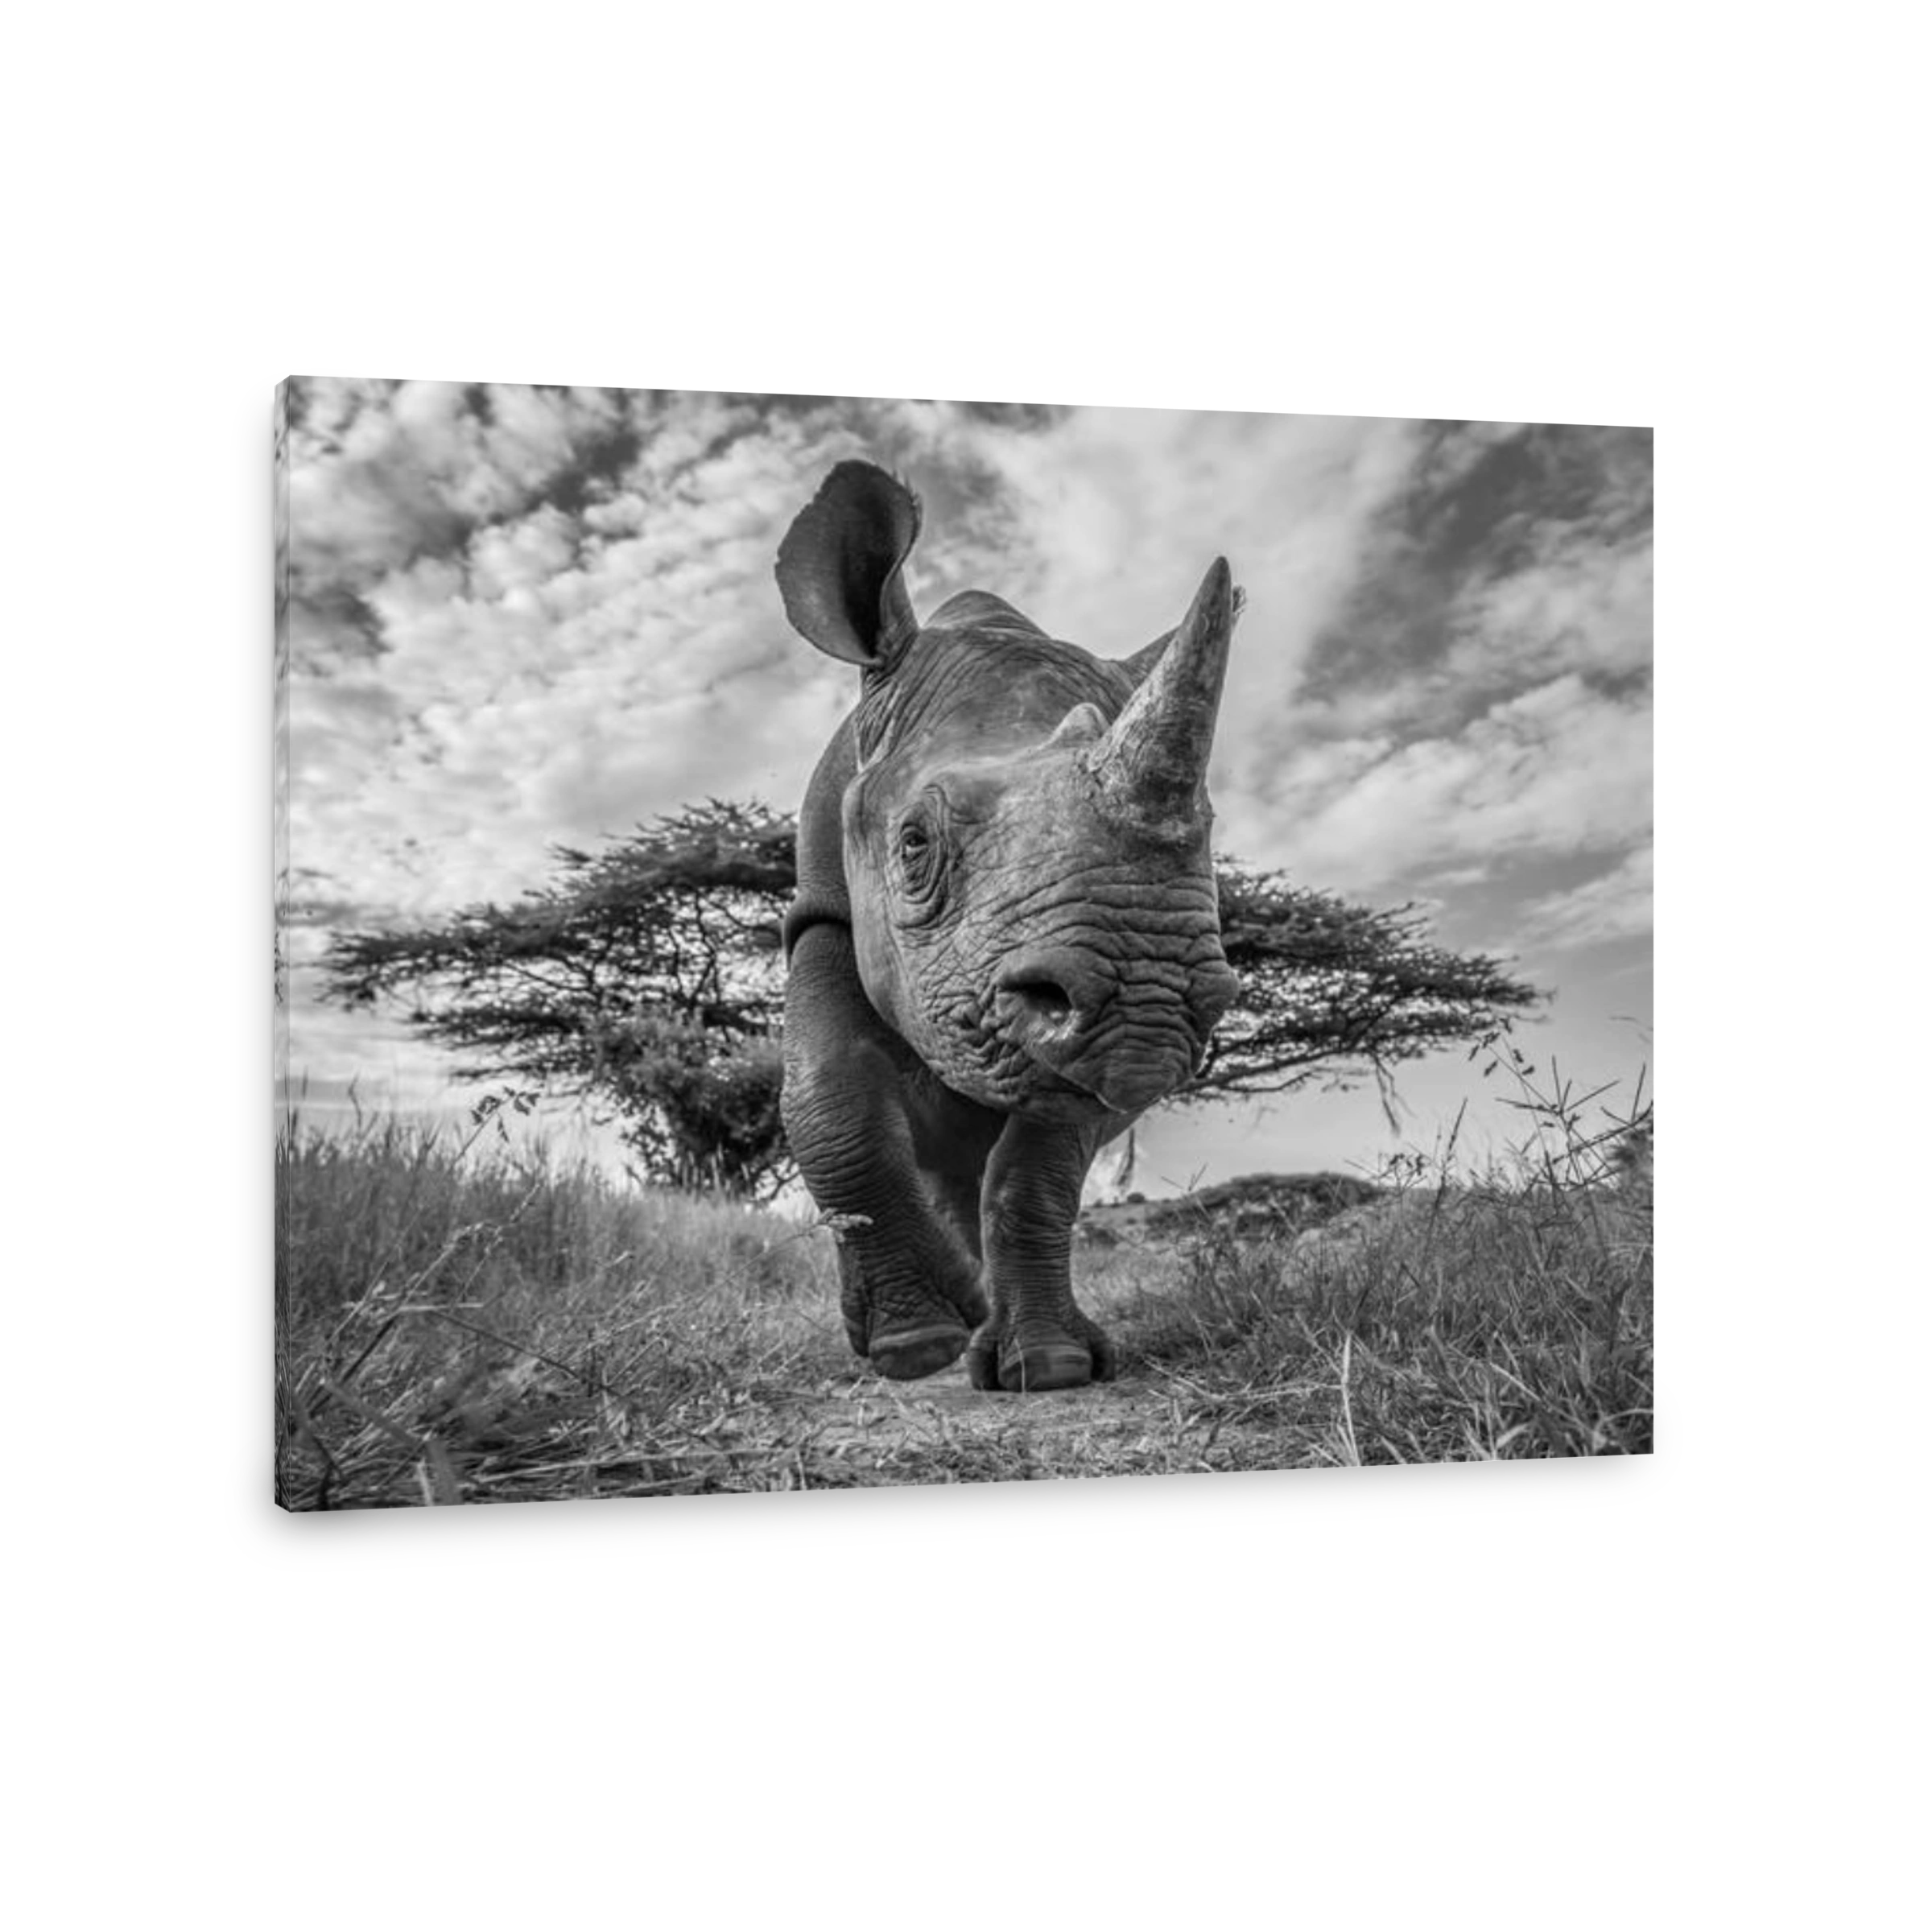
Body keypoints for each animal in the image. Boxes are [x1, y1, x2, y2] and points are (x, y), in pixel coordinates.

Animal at [776, 460, 1241, 1392]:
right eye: (913, 842)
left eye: (1211, 836)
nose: (1149, 1002)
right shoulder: (825, 913)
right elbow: (829, 1096)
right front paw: (914, 1345)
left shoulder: (1074, 1033)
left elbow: (1038, 1174)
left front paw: (1052, 1365)